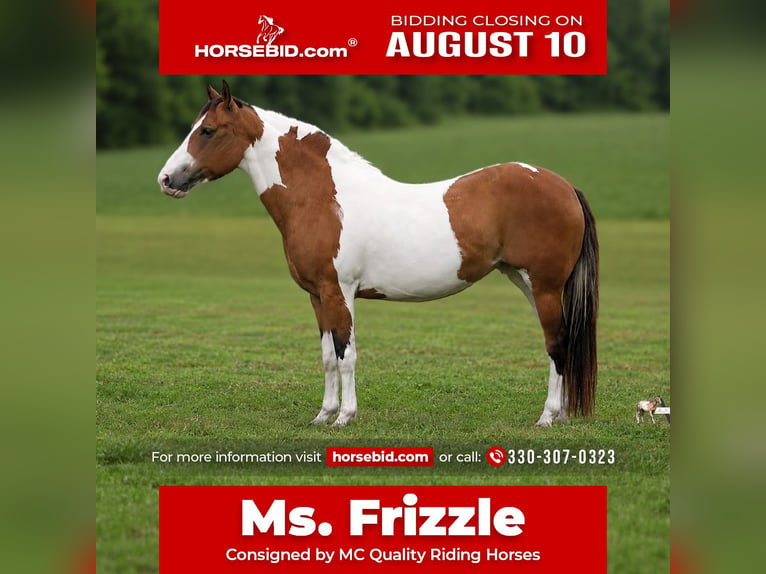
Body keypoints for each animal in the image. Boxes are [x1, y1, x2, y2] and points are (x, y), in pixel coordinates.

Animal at [157, 81, 599, 428]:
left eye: (207, 130)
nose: (166, 179)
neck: (323, 199)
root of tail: (564, 186)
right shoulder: (317, 296)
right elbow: (327, 357)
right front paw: (322, 415)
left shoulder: (339, 291)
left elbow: (346, 354)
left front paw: (344, 417)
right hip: (526, 281)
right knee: (559, 342)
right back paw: (560, 415)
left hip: (543, 286)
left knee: (556, 343)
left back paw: (547, 417)